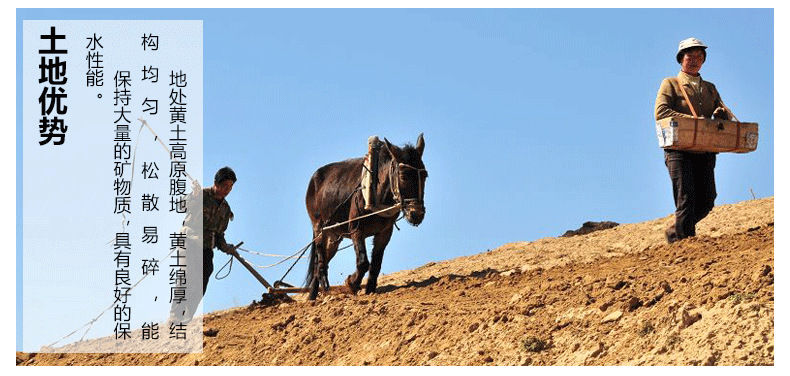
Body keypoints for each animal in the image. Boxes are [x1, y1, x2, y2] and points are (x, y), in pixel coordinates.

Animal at [304, 134, 430, 302]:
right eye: (403, 175)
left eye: (424, 175)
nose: (417, 214)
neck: (377, 194)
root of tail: (314, 178)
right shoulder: (356, 230)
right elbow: (363, 262)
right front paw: (351, 283)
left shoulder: (385, 233)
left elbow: (376, 264)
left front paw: (370, 290)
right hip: (319, 228)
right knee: (320, 261)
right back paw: (324, 287)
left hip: (334, 237)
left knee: (320, 263)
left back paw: (312, 296)